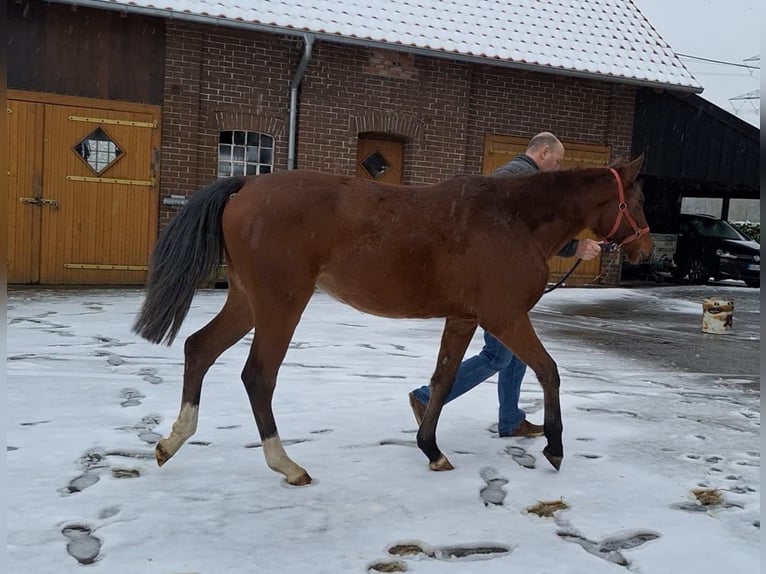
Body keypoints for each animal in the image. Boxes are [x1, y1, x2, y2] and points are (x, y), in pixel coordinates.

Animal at [132, 156, 656, 486]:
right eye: (638, 199)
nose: (647, 250)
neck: (512, 218)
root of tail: (247, 184)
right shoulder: (505, 318)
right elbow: (549, 371)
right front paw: (554, 447)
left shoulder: (463, 319)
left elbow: (443, 379)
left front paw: (431, 448)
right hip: (281, 305)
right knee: (257, 376)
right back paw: (287, 465)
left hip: (246, 302)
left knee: (199, 348)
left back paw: (171, 442)